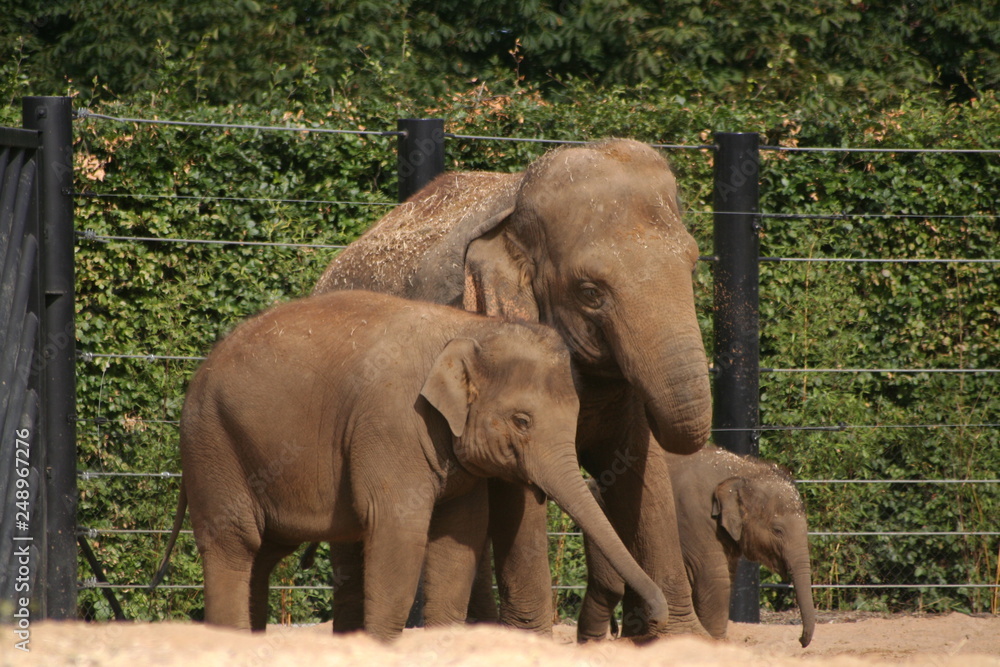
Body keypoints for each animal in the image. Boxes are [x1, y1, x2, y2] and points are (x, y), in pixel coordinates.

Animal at [151, 289, 671, 641]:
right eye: (522, 421)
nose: (659, 614)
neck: (470, 328)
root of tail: (197, 374)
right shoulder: (391, 424)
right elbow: (398, 528)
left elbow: (459, 536)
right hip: (214, 445)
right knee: (234, 544)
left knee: (263, 554)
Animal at [311, 138, 713, 636]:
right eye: (590, 292)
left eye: (692, 265)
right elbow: (515, 492)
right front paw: (531, 638)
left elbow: (641, 469)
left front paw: (682, 638)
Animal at [577, 445, 816, 648]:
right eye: (778, 530)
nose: (801, 640)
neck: (742, 468)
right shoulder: (695, 519)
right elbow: (715, 578)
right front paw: (714, 645)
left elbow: (727, 576)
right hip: (603, 514)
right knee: (609, 586)